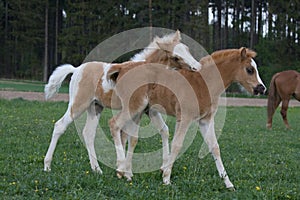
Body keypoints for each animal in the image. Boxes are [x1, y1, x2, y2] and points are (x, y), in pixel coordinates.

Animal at [43, 30, 200, 176]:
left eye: (187, 49)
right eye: (175, 57)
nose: (197, 67)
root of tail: (76, 69)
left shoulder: (148, 110)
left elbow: (162, 130)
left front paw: (161, 167)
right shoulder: (136, 108)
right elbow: (130, 135)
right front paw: (124, 169)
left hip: (95, 107)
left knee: (88, 133)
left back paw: (97, 169)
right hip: (79, 104)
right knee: (60, 125)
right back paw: (47, 166)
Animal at [105, 47, 264, 190]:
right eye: (250, 69)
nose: (261, 88)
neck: (203, 83)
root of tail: (122, 68)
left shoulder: (205, 121)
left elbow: (214, 147)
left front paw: (228, 183)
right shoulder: (184, 118)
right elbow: (177, 144)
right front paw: (166, 179)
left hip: (139, 111)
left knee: (129, 135)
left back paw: (126, 174)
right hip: (133, 106)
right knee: (114, 124)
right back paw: (121, 169)